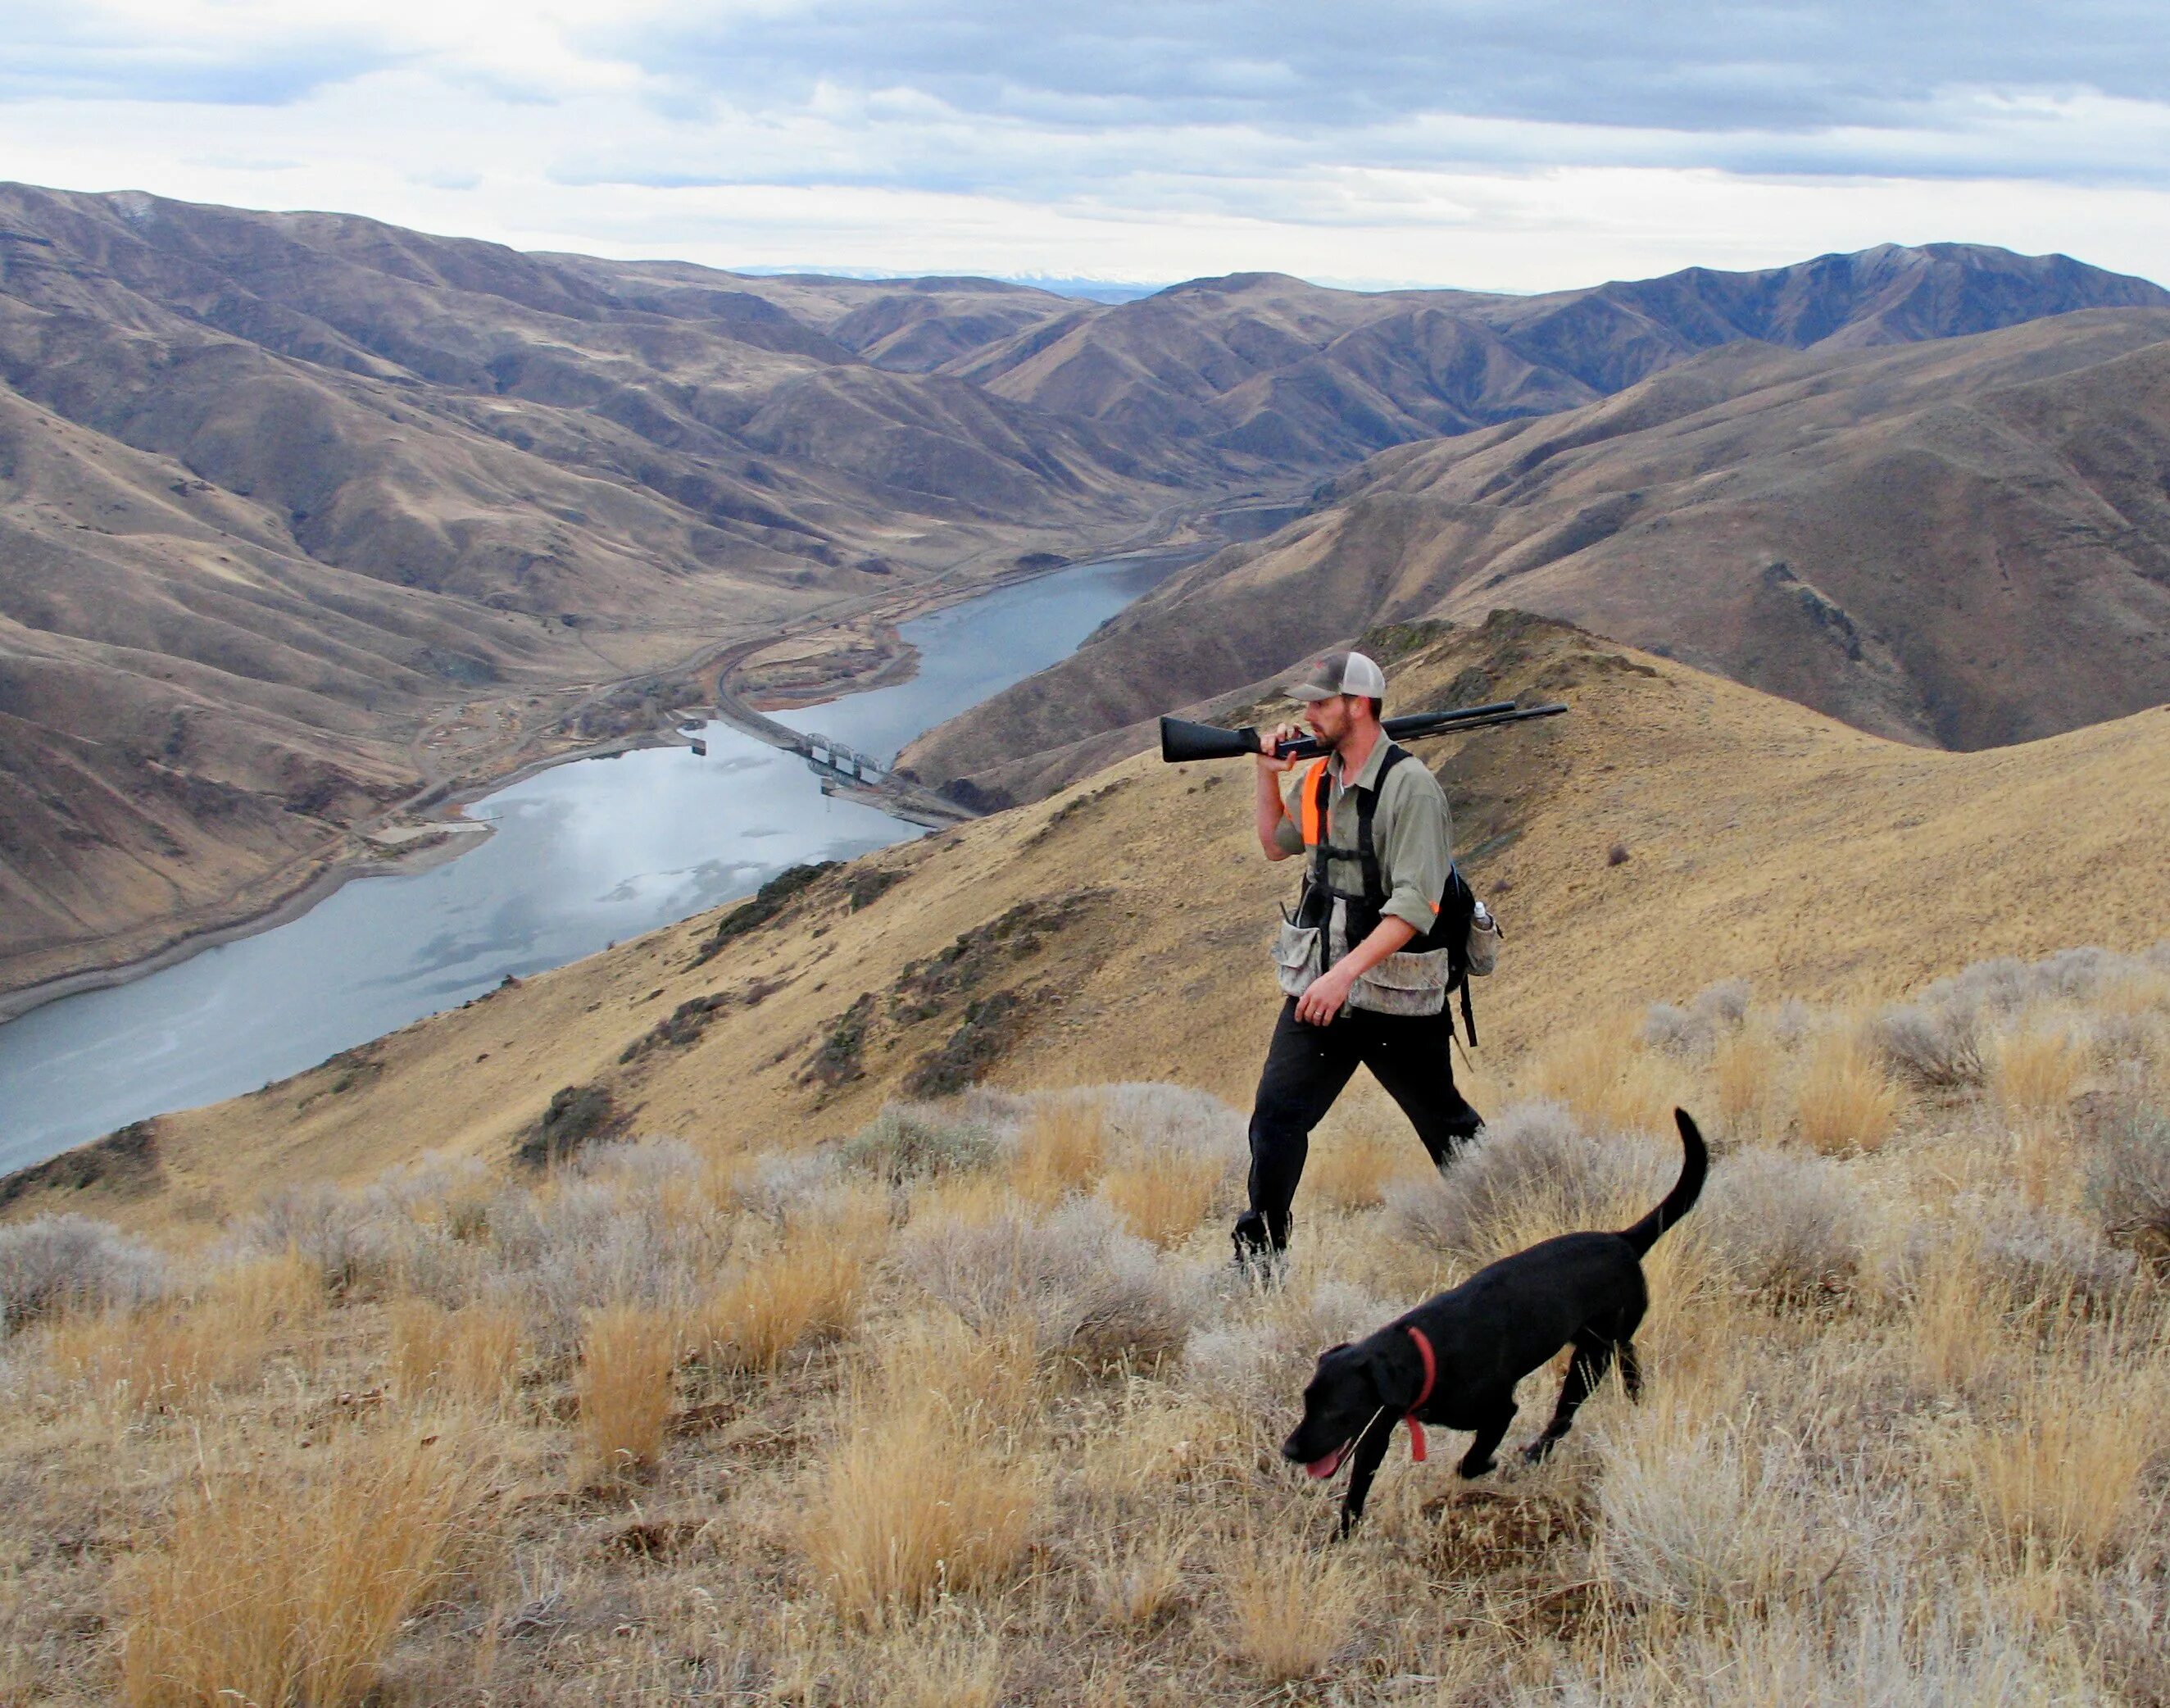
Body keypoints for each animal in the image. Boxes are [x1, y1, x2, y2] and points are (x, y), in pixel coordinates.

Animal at [1276, 1106, 1701, 1536]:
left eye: (1334, 1410)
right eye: (1307, 1403)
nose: (1289, 1450)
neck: (1423, 1354)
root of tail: (1623, 1239)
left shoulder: (1498, 1410)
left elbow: (1471, 1460)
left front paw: (1487, 1464)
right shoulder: (1377, 1426)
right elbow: (1356, 1492)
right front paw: (1340, 1538)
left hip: (1589, 1358)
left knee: (1565, 1415)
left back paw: (1536, 1453)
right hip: (1607, 1339)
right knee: (1627, 1358)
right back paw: (1633, 1400)